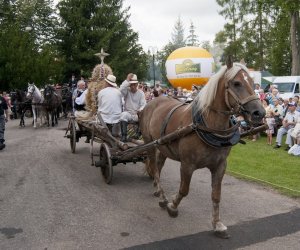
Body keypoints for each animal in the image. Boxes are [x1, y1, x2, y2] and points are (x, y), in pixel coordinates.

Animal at [139, 58, 266, 238]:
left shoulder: (220, 166)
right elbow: (184, 190)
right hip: (149, 142)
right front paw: (173, 206)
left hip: (163, 146)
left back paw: (157, 190)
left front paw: (217, 224)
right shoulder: (187, 165)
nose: (259, 113)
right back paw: (162, 197)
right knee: (154, 169)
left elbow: (216, 195)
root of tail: (153, 101)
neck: (207, 126)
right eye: (236, 83)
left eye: (253, 83)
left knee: (158, 165)